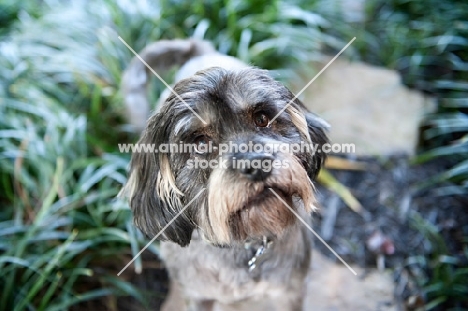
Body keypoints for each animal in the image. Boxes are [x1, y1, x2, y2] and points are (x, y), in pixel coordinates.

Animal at [120, 40, 330, 310]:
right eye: (200, 142)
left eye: (262, 118)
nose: (257, 164)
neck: (244, 245)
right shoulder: (198, 297)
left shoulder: (289, 292)